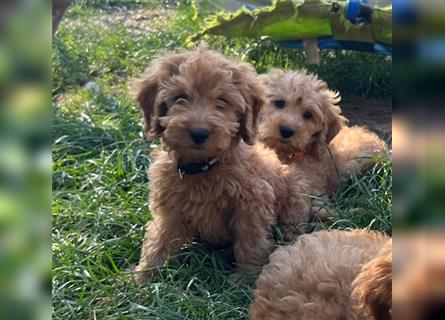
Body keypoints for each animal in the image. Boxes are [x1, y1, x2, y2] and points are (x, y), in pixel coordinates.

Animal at [131, 46, 308, 284]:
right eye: (180, 98)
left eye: (223, 101)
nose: (198, 133)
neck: (204, 167)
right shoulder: (170, 207)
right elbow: (158, 239)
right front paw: (142, 278)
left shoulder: (251, 203)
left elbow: (250, 240)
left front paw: (245, 277)